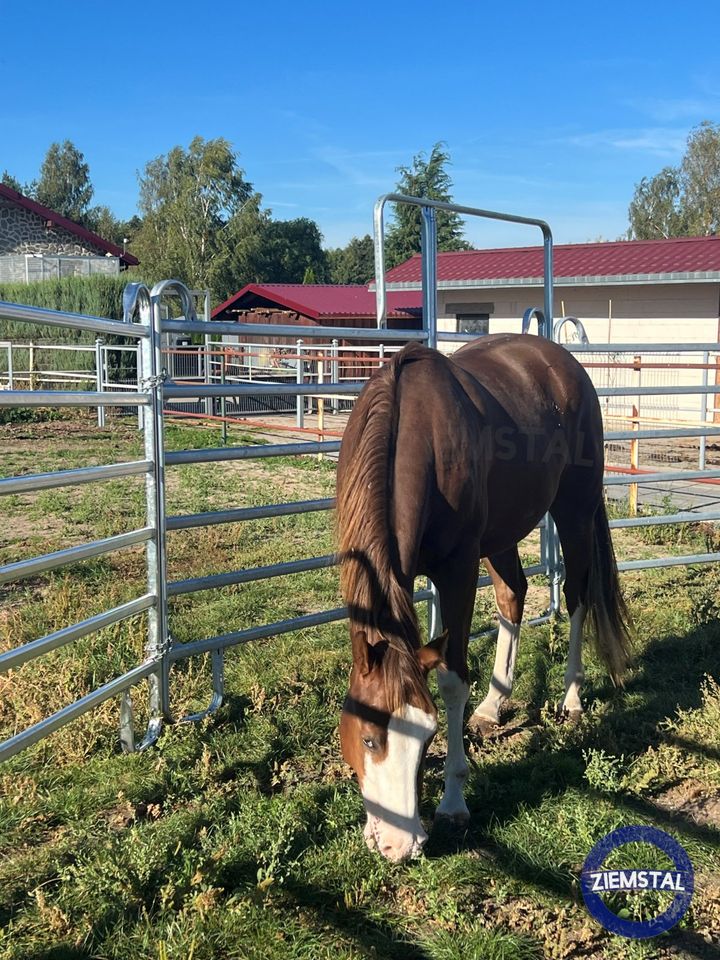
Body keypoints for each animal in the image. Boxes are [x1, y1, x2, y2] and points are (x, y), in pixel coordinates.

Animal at [336, 336, 632, 864]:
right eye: (369, 739)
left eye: (428, 733)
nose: (401, 846)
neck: (411, 431)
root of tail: (563, 362)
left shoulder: (457, 569)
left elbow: (453, 679)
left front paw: (454, 803)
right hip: (502, 533)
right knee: (513, 595)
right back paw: (494, 705)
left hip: (574, 510)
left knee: (576, 595)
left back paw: (572, 697)